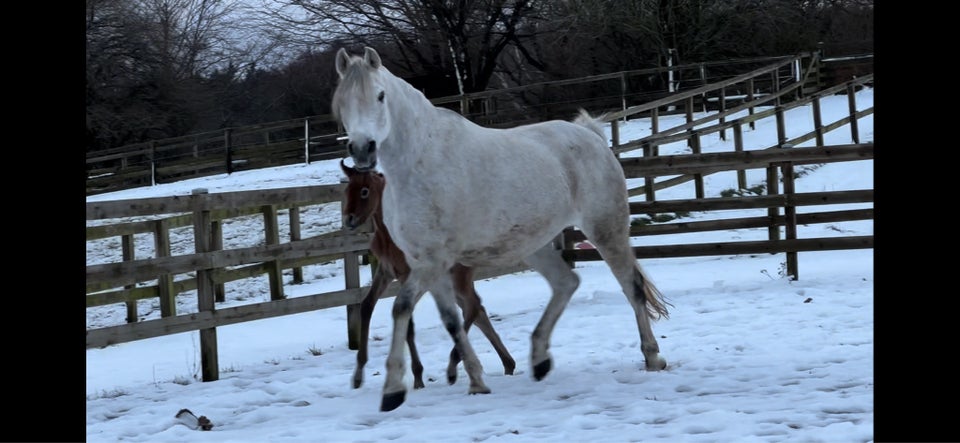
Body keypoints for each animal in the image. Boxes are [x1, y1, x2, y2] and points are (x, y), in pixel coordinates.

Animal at [332, 46, 668, 412]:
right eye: (342, 100)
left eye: (380, 95)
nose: (363, 149)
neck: (419, 163)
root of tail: (590, 135)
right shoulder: (426, 265)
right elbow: (451, 320)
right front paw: (476, 381)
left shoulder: (432, 262)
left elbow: (402, 308)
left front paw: (393, 389)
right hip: (535, 245)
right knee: (566, 283)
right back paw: (539, 360)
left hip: (606, 229)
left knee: (631, 287)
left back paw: (653, 358)